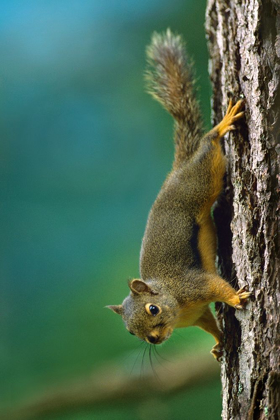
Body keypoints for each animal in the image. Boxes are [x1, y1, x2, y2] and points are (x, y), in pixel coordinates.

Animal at [107, 28, 252, 360]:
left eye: (153, 309)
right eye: (131, 331)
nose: (154, 339)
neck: (177, 302)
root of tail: (178, 168)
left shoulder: (195, 284)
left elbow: (219, 287)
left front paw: (236, 300)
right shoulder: (198, 314)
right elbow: (210, 324)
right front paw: (219, 344)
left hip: (200, 179)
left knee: (209, 145)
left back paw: (223, 124)